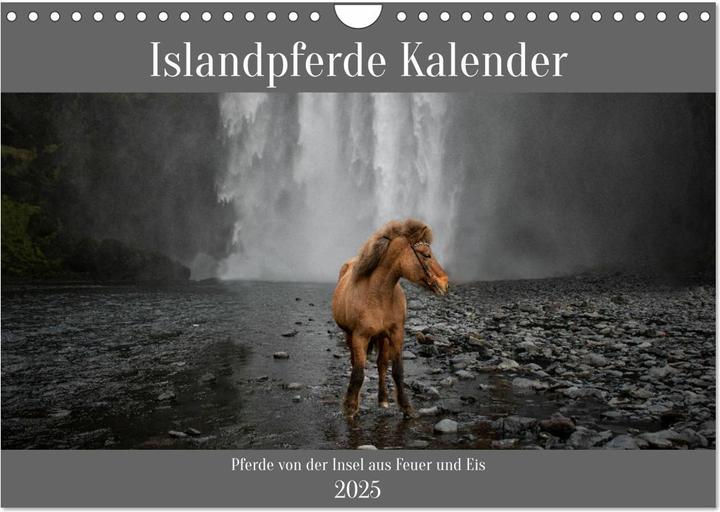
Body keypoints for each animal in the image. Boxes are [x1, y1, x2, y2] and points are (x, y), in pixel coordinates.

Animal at [332, 219, 449, 418]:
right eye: (426, 255)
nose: (445, 283)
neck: (378, 295)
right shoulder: (359, 337)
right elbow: (358, 373)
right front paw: (350, 407)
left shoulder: (396, 334)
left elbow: (397, 371)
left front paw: (406, 407)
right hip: (350, 336)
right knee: (356, 363)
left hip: (383, 338)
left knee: (381, 365)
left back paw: (383, 400)